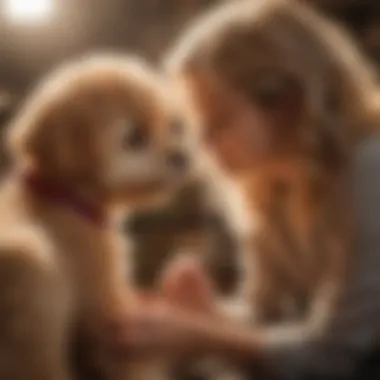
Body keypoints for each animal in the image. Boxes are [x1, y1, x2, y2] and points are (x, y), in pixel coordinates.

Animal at [0, 54, 184, 380]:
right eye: (135, 138)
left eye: (171, 125)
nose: (181, 157)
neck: (65, 196)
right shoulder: (103, 303)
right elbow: (127, 362)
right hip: (35, 286)